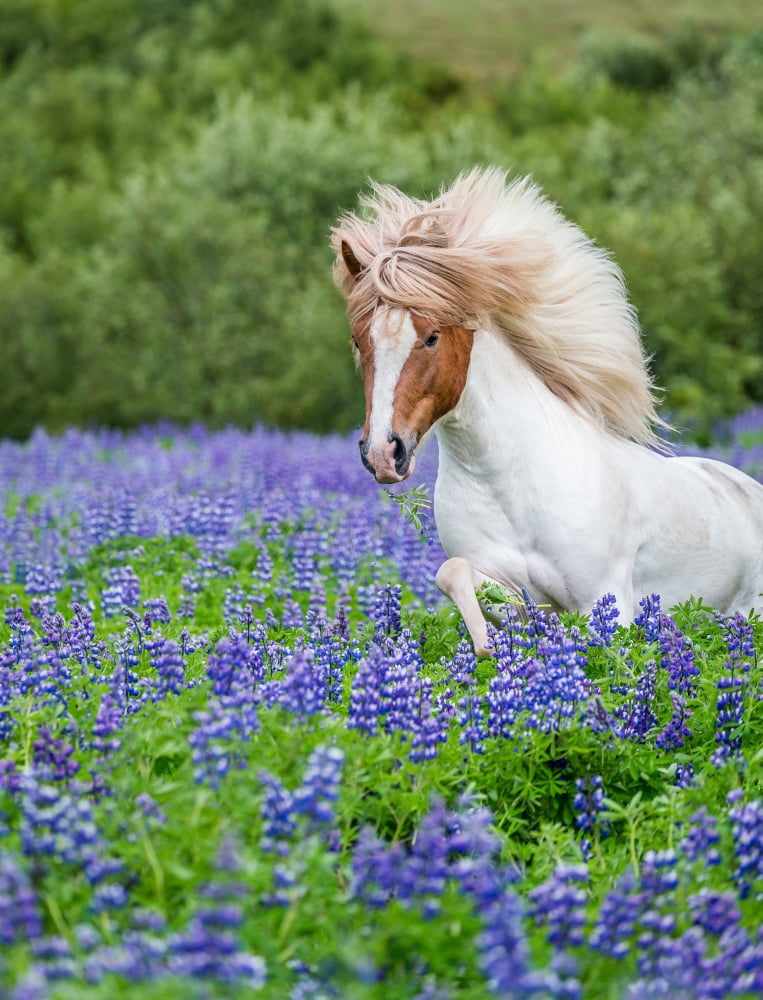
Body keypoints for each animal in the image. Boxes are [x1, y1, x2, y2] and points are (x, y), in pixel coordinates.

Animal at [331, 167, 763, 655]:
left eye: (432, 337)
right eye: (358, 340)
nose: (384, 454)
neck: (510, 485)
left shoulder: (608, 602)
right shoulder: (512, 590)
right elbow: (455, 575)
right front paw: (490, 648)